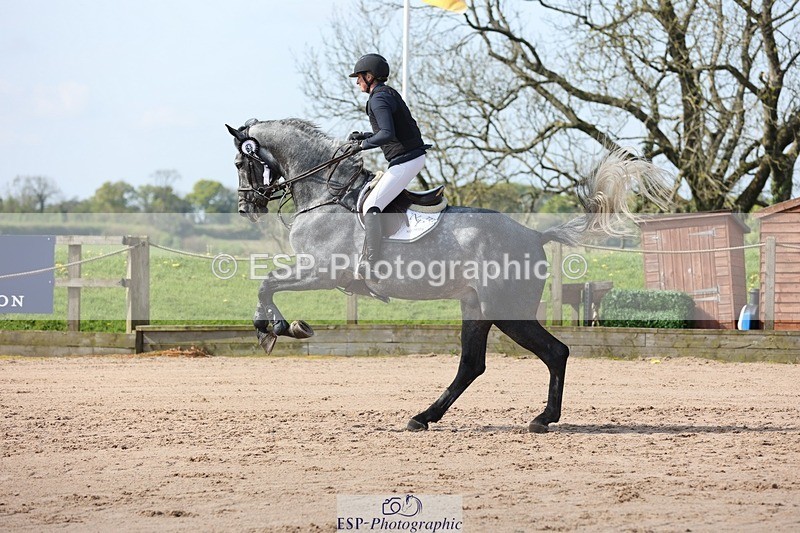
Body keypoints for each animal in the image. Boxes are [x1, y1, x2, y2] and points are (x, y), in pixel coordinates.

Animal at [226, 118, 671, 433]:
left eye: (240, 162)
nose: (247, 207)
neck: (325, 193)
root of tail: (534, 234)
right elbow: (267, 284)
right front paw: (278, 328)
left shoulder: (322, 270)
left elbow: (266, 284)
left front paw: (277, 329)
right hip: (475, 307)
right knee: (472, 365)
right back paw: (424, 417)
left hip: (506, 311)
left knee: (554, 352)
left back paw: (542, 419)